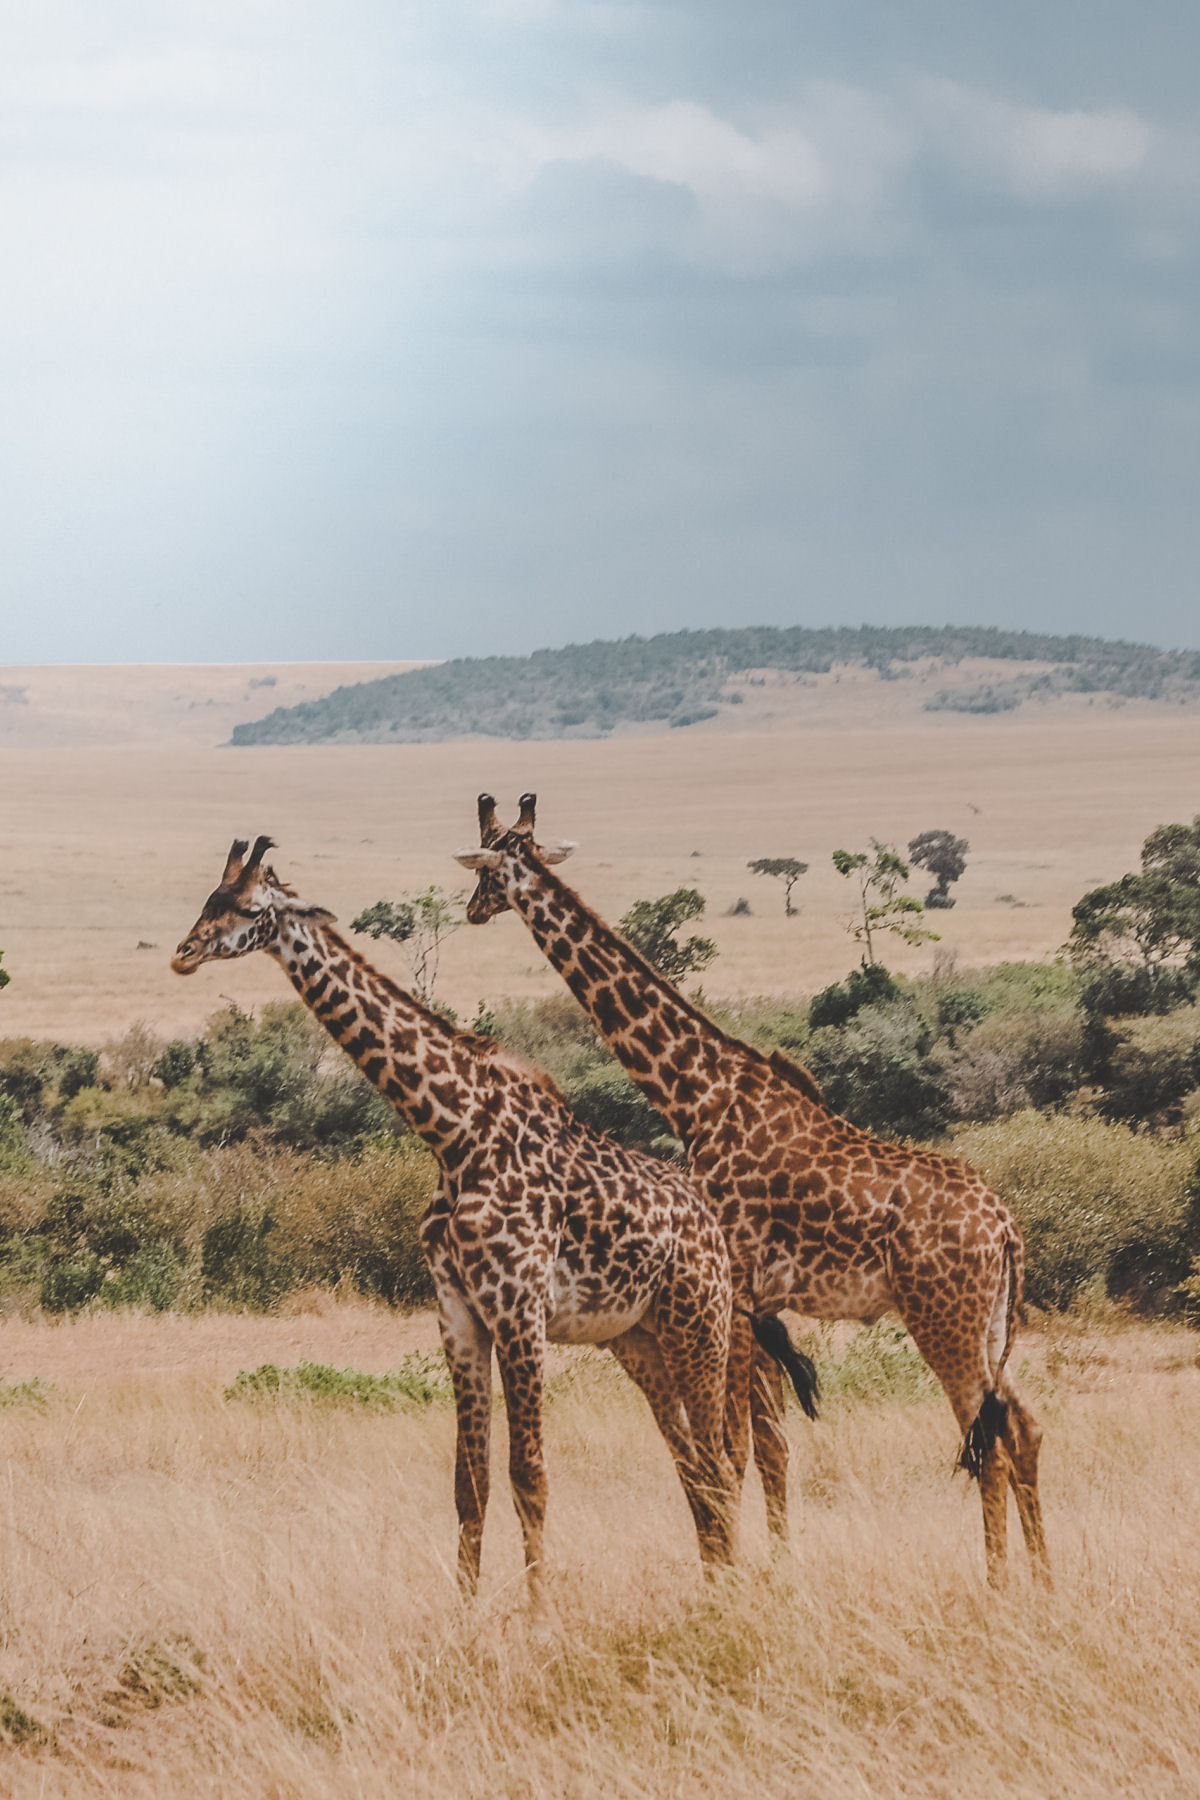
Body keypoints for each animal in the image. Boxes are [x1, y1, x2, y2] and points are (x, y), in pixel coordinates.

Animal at [170, 835, 741, 1598]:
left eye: (250, 906)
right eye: (211, 897)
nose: (183, 953)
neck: (453, 1132)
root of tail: (713, 1230)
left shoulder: (520, 1309)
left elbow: (530, 1475)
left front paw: (537, 1612)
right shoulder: (459, 1314)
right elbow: (470, 1483)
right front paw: (467, 1612)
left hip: (698, 1325)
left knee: (720, 1464)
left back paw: (736, 1594)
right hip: (639, 1340)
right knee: (695, 1467)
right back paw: (714, 1591)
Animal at [455, 795, 1043, 1584]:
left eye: (487, 866)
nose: (470, 911)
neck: (696, 1091)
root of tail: (1005, 1229)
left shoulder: (732, 1290)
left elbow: (733, 1452)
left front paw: (740, 1573)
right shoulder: (760, 1302)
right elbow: (769, 1446)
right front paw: (775, 1566)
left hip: (942, 1319)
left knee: (987, 1442)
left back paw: (998, 1584)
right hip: (988, 1324)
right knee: (1023, 1426)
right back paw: (1043, 1579)